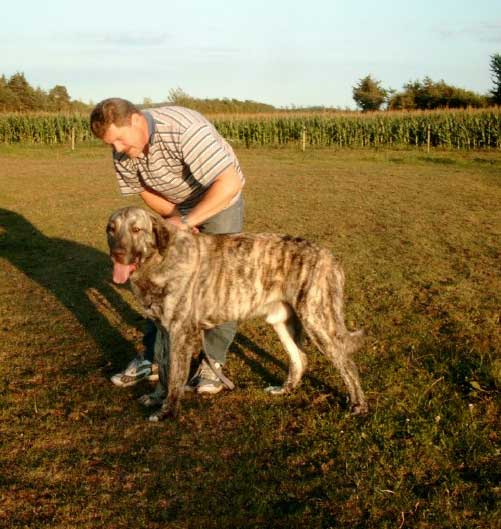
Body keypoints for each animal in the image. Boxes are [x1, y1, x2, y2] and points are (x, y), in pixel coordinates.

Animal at [105, 206, 368, 420]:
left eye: (136, 229)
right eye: (111, 229)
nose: (116, 254)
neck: (160, 259)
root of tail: (330, 256)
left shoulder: (180, 333)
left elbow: (175, 378)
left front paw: (167, 412)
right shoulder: (163, 331)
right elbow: (163, 371)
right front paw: (156, 397)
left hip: (317, 321)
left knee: (347, 363)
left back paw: (359, 406)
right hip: (282, 322)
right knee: (299, 358)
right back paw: (284, 389)